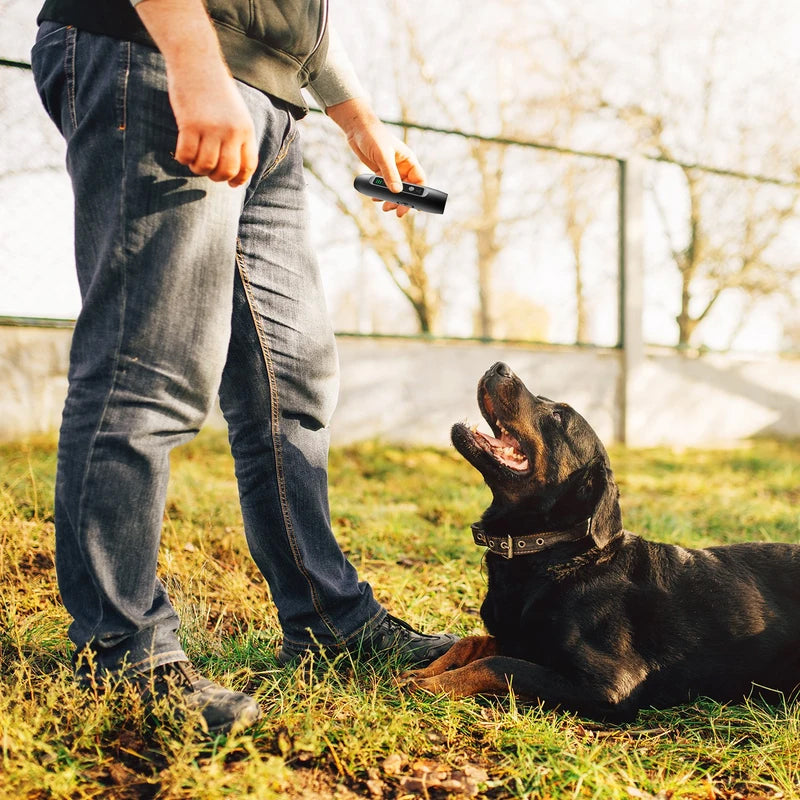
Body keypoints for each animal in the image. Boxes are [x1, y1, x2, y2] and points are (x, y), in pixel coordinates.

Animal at [404, 360, 800, 720]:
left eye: (559, 416)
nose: (499, 365)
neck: (552, 552)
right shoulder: (521, 638)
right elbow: (474, 641)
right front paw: (425, 671)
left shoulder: (608, 683)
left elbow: (500, 664)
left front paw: (434, 685)